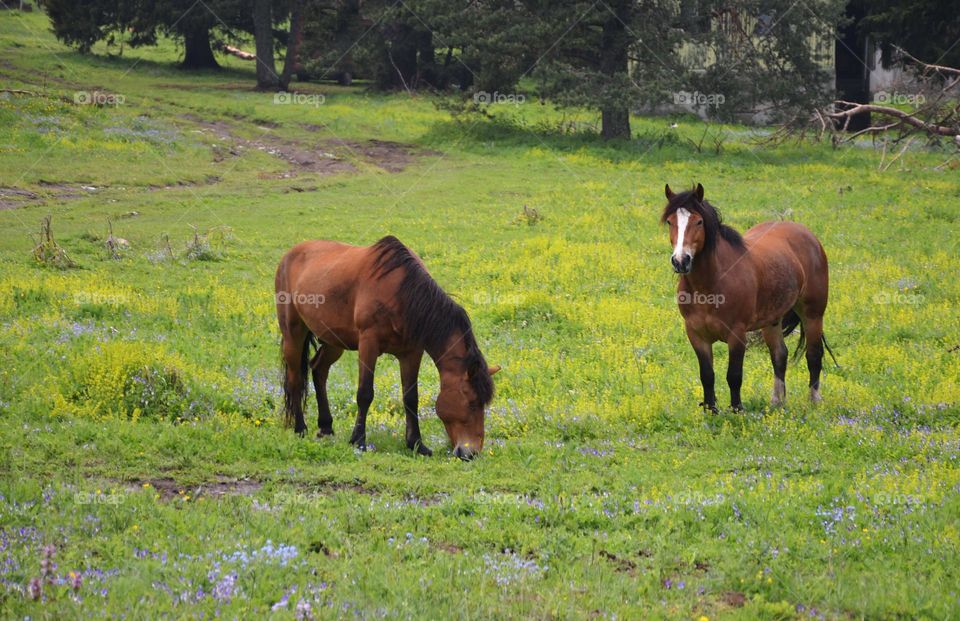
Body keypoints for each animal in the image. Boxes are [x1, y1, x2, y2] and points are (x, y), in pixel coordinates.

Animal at [274, 235, 498, 458]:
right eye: (471, 403)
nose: (471, 453)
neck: (401, 293)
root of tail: (287, 256)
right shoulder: (368, 345)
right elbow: (365, 394)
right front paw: (359, 441)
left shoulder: (412, 352)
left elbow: (411, 398)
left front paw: (416, 443)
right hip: (293, 334)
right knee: (295, 380)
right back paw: (300, 428)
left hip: (333, 341)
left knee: (319, 370)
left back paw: (326, 426)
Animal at [664, 183, 836, 412]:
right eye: (670, 221)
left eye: (699, 221)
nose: (681, 261)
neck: (710, 284)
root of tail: (808, 236)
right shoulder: (696, 334)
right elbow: (707, 375)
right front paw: (711, 411)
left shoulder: (737, 334)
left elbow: (734, 376)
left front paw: (737, 410)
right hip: (772, 321)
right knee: (779, 356)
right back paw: (777, 402)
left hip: (813, 314)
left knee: (814, 355)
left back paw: (814, 400)